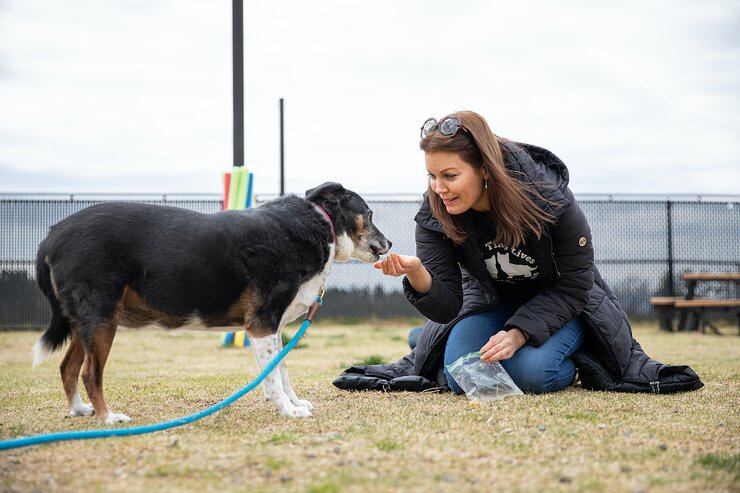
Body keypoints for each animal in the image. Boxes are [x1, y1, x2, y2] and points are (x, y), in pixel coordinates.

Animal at [33, 183, 394, 420]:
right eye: (369, 213)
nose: (389, 243)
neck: (318, 225)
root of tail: (53, 233)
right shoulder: (261, 323)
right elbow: (274, 377)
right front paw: (288, 411)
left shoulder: (273, 327)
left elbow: (282, 370)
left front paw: (294, 403)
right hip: (102, 317)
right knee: (89, 373)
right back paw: (107, 419)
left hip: (87, 322)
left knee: (67, 367)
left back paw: (81, 410)